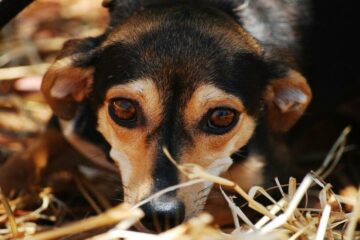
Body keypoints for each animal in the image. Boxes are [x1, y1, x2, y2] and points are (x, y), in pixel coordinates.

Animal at [2, 0, 314, 232]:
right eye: (124, 108)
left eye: (223, 117)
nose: (160, 215)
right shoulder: (67, 130)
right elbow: (21, 163)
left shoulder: (266, 188)